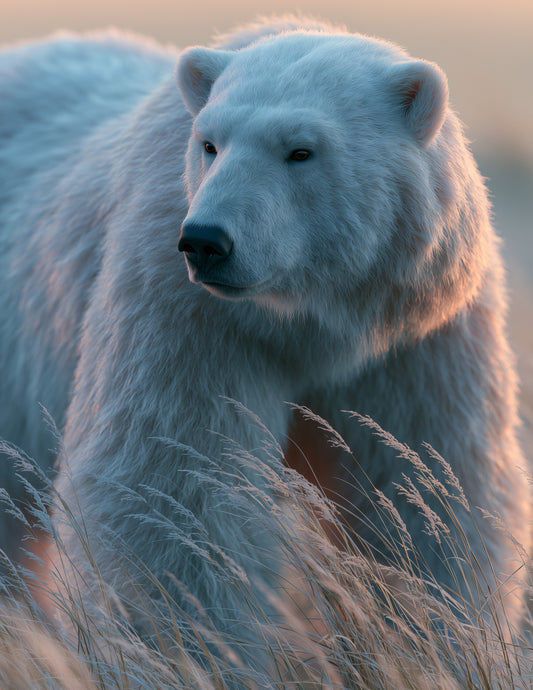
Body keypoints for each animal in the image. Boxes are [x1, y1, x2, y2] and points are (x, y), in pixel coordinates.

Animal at [0, 15, 529, 661]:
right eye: (209, 143)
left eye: (300, 150)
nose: (206, 240)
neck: (316, 322)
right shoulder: (191, 314)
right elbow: (176, 485)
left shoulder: (418, 336)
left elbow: (427, 486)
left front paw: (437, 641)